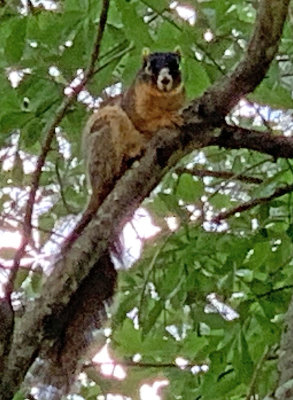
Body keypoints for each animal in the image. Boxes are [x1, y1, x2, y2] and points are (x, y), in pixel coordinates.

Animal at [64, 50, 185, 247]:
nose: (165, 79)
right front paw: (167, 119)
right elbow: (143, 122)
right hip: (105, 139)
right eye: (149, 66)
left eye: (176, 65)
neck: (162, 98)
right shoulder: (133, 104)